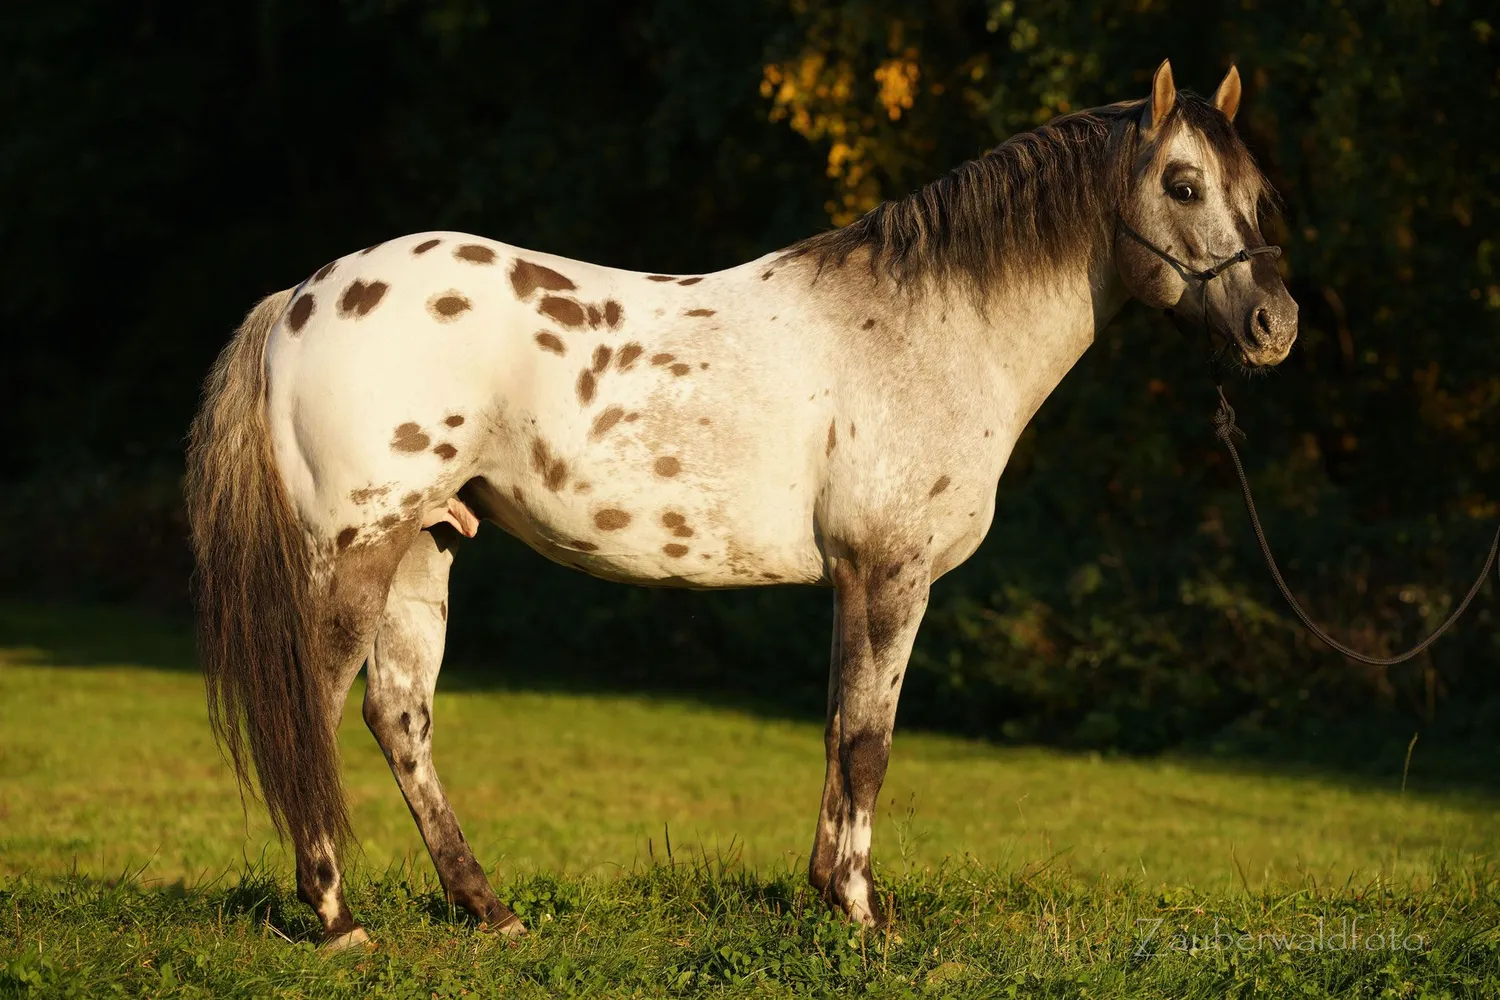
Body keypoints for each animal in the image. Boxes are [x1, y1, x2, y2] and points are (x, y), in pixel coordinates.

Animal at [185, 59, 1297, 948]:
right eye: (1185, 183)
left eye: (1258, 191)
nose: (1275, 325)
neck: (930, 327)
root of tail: (302, 297)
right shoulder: (890, 573)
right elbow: (869, 739)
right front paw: (864, 914)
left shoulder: (854, 582)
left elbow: (839, 729)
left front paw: (833, 895)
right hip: (357, 549)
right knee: (317, 711)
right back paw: (338, 920)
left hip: (423, 548)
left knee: (399, 717)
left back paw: (488, 911)